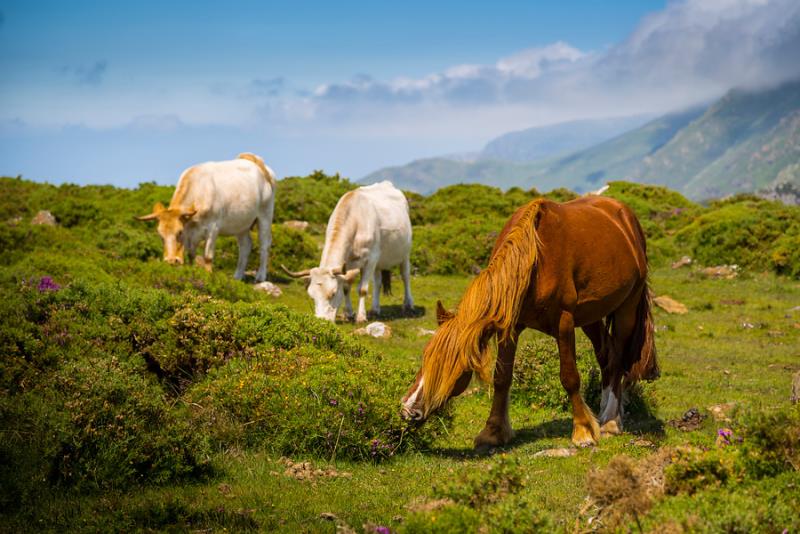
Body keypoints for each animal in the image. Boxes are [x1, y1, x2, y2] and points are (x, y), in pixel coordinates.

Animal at [136, 153, 276, 282]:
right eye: (160, 235)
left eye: (179, 232)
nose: (171, 260)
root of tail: (257, 163)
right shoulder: (192, 233)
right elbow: (191, 255)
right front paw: (193, 273)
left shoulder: (213, 228)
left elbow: (208, 256)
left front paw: (208, 276)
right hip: (241, 224)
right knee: (245, 246)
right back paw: (237, 277)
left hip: (265, 214)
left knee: (264, 244)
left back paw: (260, 276)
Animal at [282, 181, 412, 322]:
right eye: (312, 296)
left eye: (333, 293)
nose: (322, 321)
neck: (356, 219)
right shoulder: (348, 263)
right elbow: (345, 287)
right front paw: (349, 313)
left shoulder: (371, 258)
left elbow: (362, 289)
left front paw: (361, 317)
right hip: (380, 261)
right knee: (378, 282)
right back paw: (375, 309)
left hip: (405, 253)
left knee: (405, 276)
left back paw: (408, 304)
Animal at [400, 195, 656, 450]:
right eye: (425, 356)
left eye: (455, 366)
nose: (409, 410)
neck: (534, 261)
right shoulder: (510, 327)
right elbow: (501, 378)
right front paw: (493, 432)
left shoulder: (564, 323)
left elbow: (569, 377)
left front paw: (583, 431)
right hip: (591, 316)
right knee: (607, 358)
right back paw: (603, 414)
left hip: (626, 309)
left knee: (619, 358)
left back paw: (611, 421)